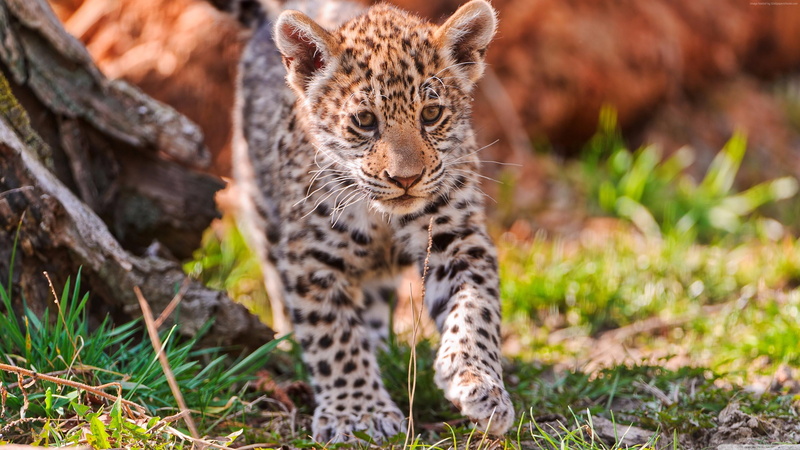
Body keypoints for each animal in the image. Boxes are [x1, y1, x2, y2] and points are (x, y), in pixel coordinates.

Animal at [215, 0, 515, 442]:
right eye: (365, 121)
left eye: (431, 114)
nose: (406, 179)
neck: (382, 216)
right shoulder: (312, 257)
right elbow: (333, 335)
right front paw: (358, 412)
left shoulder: (456, 237)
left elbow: (475, 309)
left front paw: (479, 384)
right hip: (259, 203)